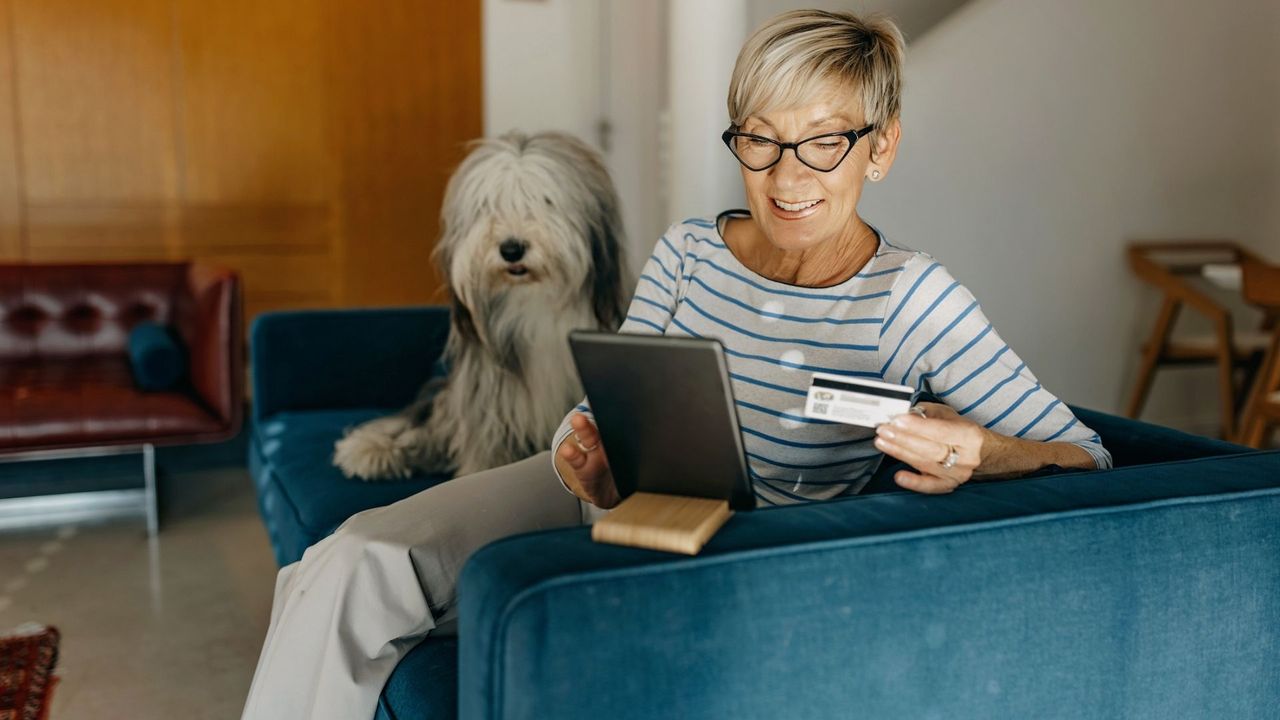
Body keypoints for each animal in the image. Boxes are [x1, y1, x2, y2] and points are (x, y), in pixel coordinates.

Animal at [332, 131, 627, 479]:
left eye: (546, 201)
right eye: (488, 206)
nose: (511, 249)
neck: (533, 301)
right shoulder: (486, 402)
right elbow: (482, 455)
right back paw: (375, 449)